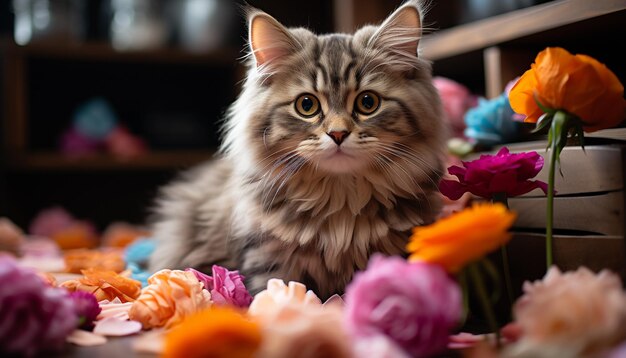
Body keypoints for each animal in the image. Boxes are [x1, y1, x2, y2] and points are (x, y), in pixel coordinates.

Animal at [149, 0, 446, 298]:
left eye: (367, 102)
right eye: (307, 105)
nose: (338, 133)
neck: (340, 202)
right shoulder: (266, 258)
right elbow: (271, 293)